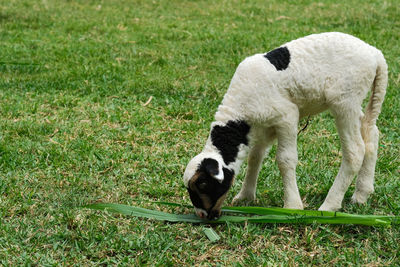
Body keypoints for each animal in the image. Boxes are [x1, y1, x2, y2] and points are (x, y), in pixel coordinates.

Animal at [184, 31, 388, 220]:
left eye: (203, 184)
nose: (202, 215)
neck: (239, 113)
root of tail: (375, 54)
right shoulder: (263, 126)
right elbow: (255, 157)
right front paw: (245, 197)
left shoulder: (286, 116)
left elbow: (285, 160)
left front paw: (292, 206)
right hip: (355, 103)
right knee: (371, 134)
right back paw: (361, 194)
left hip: (345, 99)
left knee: (355, 151)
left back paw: (329, 206)